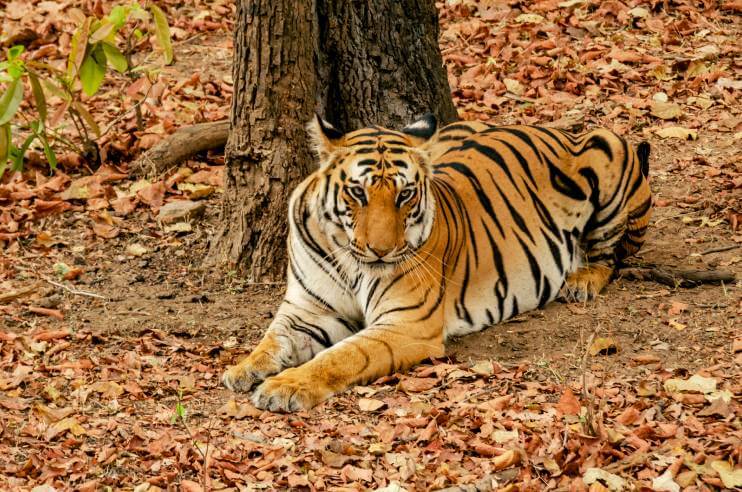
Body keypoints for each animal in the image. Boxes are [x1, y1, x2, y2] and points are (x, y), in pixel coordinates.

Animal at [222, 113, 652, 412]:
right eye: (358, 193)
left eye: (405, 194)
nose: (381, 250)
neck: (350, 259)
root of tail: (555, 129)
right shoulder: (308, 310)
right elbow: (272, 339)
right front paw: (243, 369)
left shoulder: (406, 324)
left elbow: (342, 356)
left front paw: (285, 387)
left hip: (608, 148)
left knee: (610, 255)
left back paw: (581, 281)